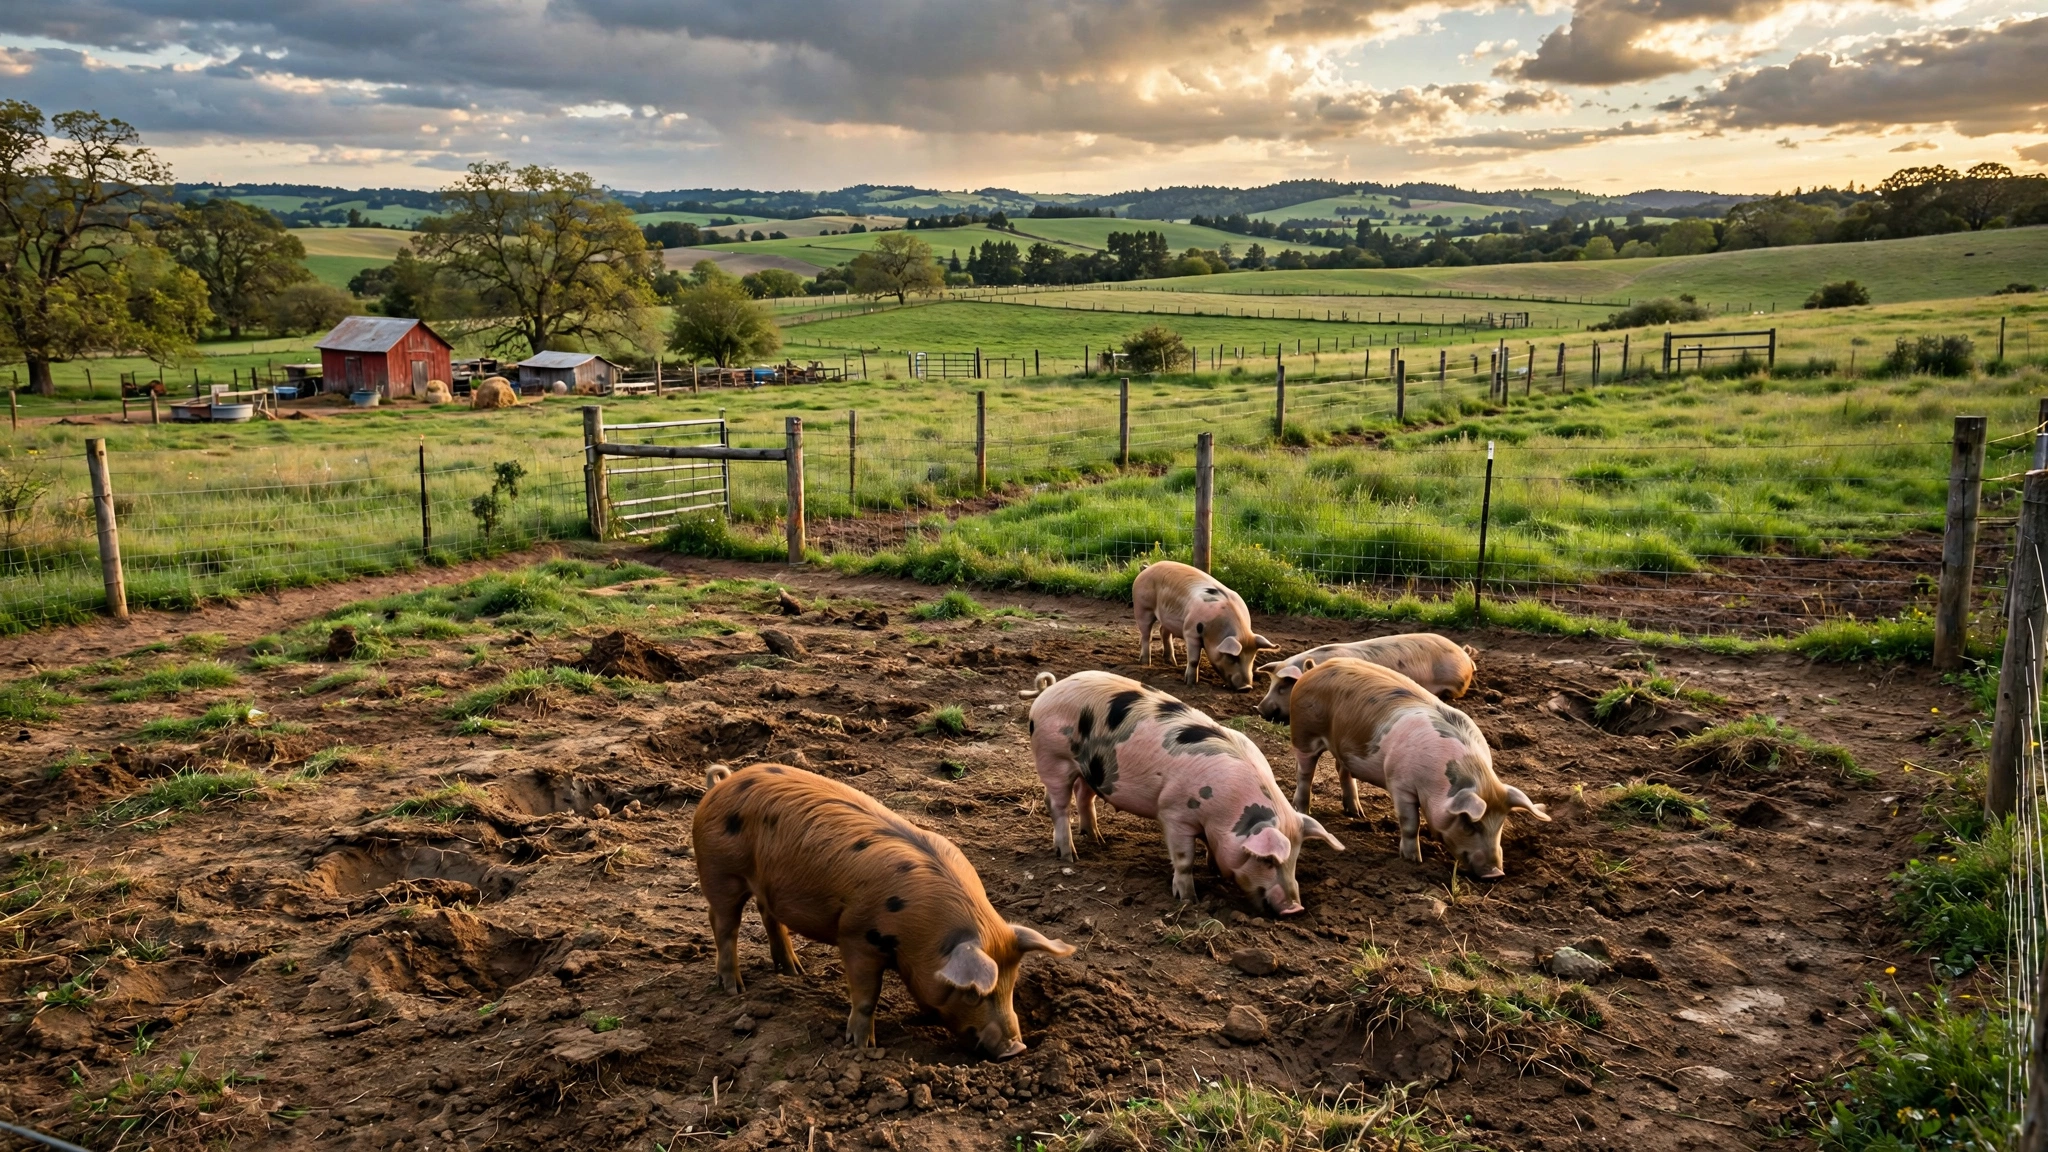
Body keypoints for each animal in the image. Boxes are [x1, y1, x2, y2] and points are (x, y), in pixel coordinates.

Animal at [692, 763, 1073, 1057]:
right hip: (720, 872)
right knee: (722, 923)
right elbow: (866, 996)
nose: (1015, 1050)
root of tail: (720, 784)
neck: (925, 929)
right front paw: (862, 1048)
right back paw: (733, 989)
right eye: (972, 991)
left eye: (1012, 985)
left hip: (764, 883)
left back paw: (794, 973)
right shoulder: (857, 938)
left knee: (768, 914)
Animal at [1023, 670, 1343, 914]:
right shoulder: (1174, 813)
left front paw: (1213, 869)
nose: (1294, 909)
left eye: (1295, 858)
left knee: (1084, 795)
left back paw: (1098, 840)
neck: (1227, 811)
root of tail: (1049, 691)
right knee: (1057, 804)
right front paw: (1189, 900)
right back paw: (1069, 856)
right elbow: (1184, 859)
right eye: (1267, 859)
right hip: (1054, 758)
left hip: (1091, 770)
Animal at [1131, 561, 1276, 689]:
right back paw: (1145, 663)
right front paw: (1190, 683)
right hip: (1142, 607)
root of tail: (1146, 568)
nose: (1246, 687)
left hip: (1167, 617)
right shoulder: (1190, 632)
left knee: (1163, 631)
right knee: (1146, 635)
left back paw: (1172, 663)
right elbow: (1194, 660)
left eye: (1252, 657)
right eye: (1233, 657)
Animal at [1286, 657, 1547, 879]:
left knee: (1343, 770)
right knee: (1304, 773)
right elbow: (1410, 823)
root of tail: (1312, 669)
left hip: (1344, 746)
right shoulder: (1400, 784)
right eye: (1470, 824)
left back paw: (1357, 814)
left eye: (1501, 823)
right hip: (1304, 734)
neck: (1438, 783)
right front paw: (1414, 861)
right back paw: (1303, 809)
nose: (1496, 874)